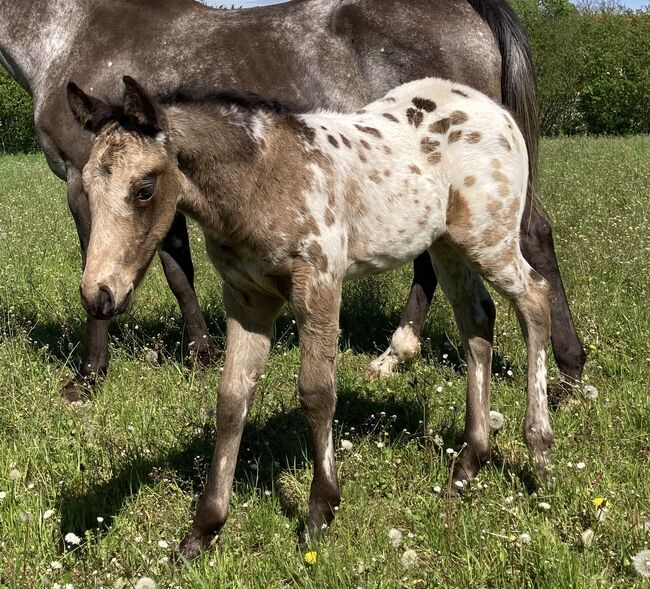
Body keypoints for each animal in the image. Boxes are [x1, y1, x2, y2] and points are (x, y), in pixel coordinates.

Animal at [0, 0, 584, 400]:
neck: (71, 27)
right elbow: (176, 270)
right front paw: (202, 354)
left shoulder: (85, 183)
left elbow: (106, 269)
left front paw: (88, 376)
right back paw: (396, 357)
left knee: (528, 236)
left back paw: (568, 368)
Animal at [64, 76, 552, 560]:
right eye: (85, 187)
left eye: (144, 188)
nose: (98, 295)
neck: (259, 180)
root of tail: (498, 111)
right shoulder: (247, 301)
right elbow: (231, 400)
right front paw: (202, 531)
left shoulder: (319, 285)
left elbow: (316, 392)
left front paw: (320, 512)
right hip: (447, 245)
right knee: (478, 319)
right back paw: (470, 462)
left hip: (489, 240)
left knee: (535, 299)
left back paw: (539, 449)